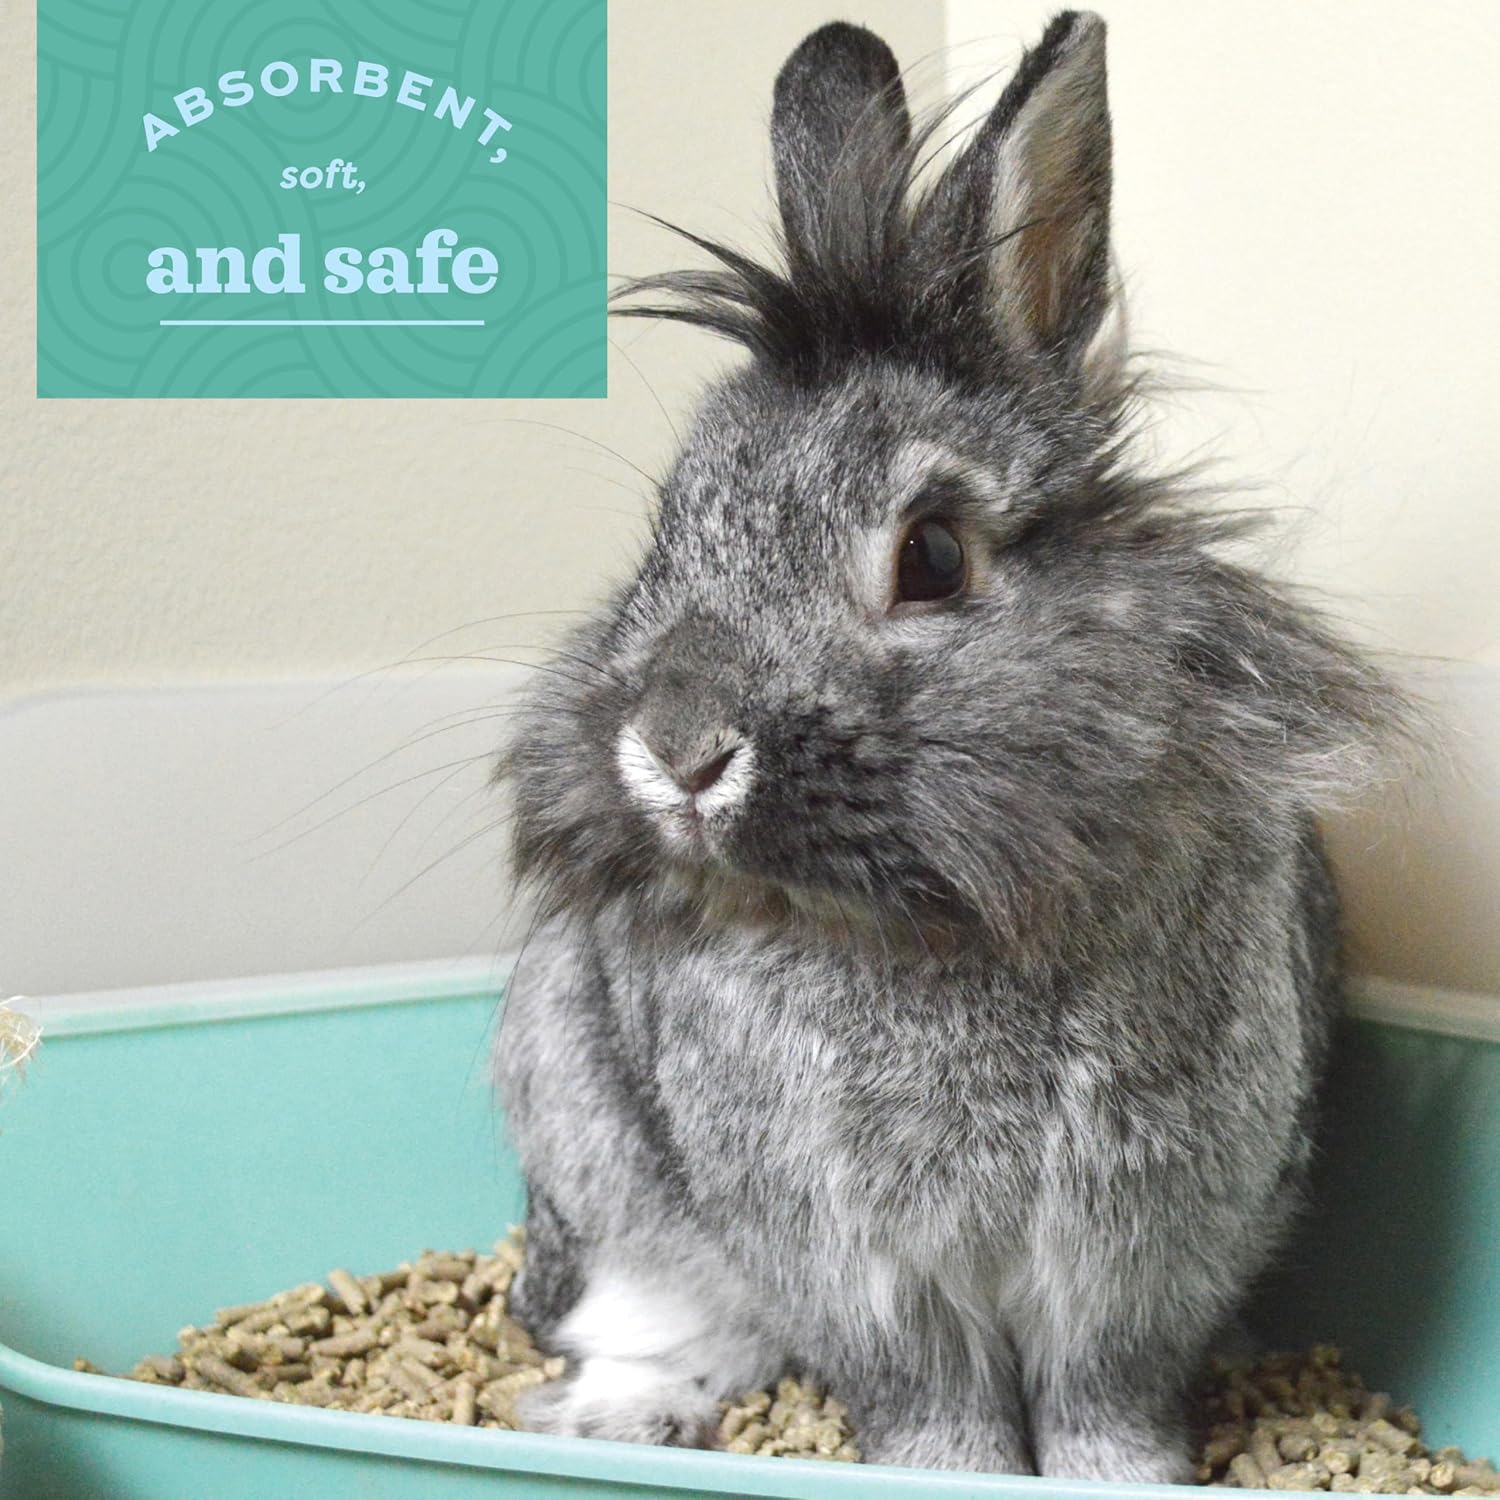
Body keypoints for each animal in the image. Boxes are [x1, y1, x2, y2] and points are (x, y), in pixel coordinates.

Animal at [494, 10, 1406, 1481]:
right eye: (667, 539)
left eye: (929, 556)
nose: (676, 751)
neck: (934, 922)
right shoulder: (861, 1268)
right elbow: (933, 1403)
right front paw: (956, 1477)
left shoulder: (1138, 1260)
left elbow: (1102, 1402)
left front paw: (1127, 1481)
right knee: (658, 1317)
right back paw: (621, 1415)